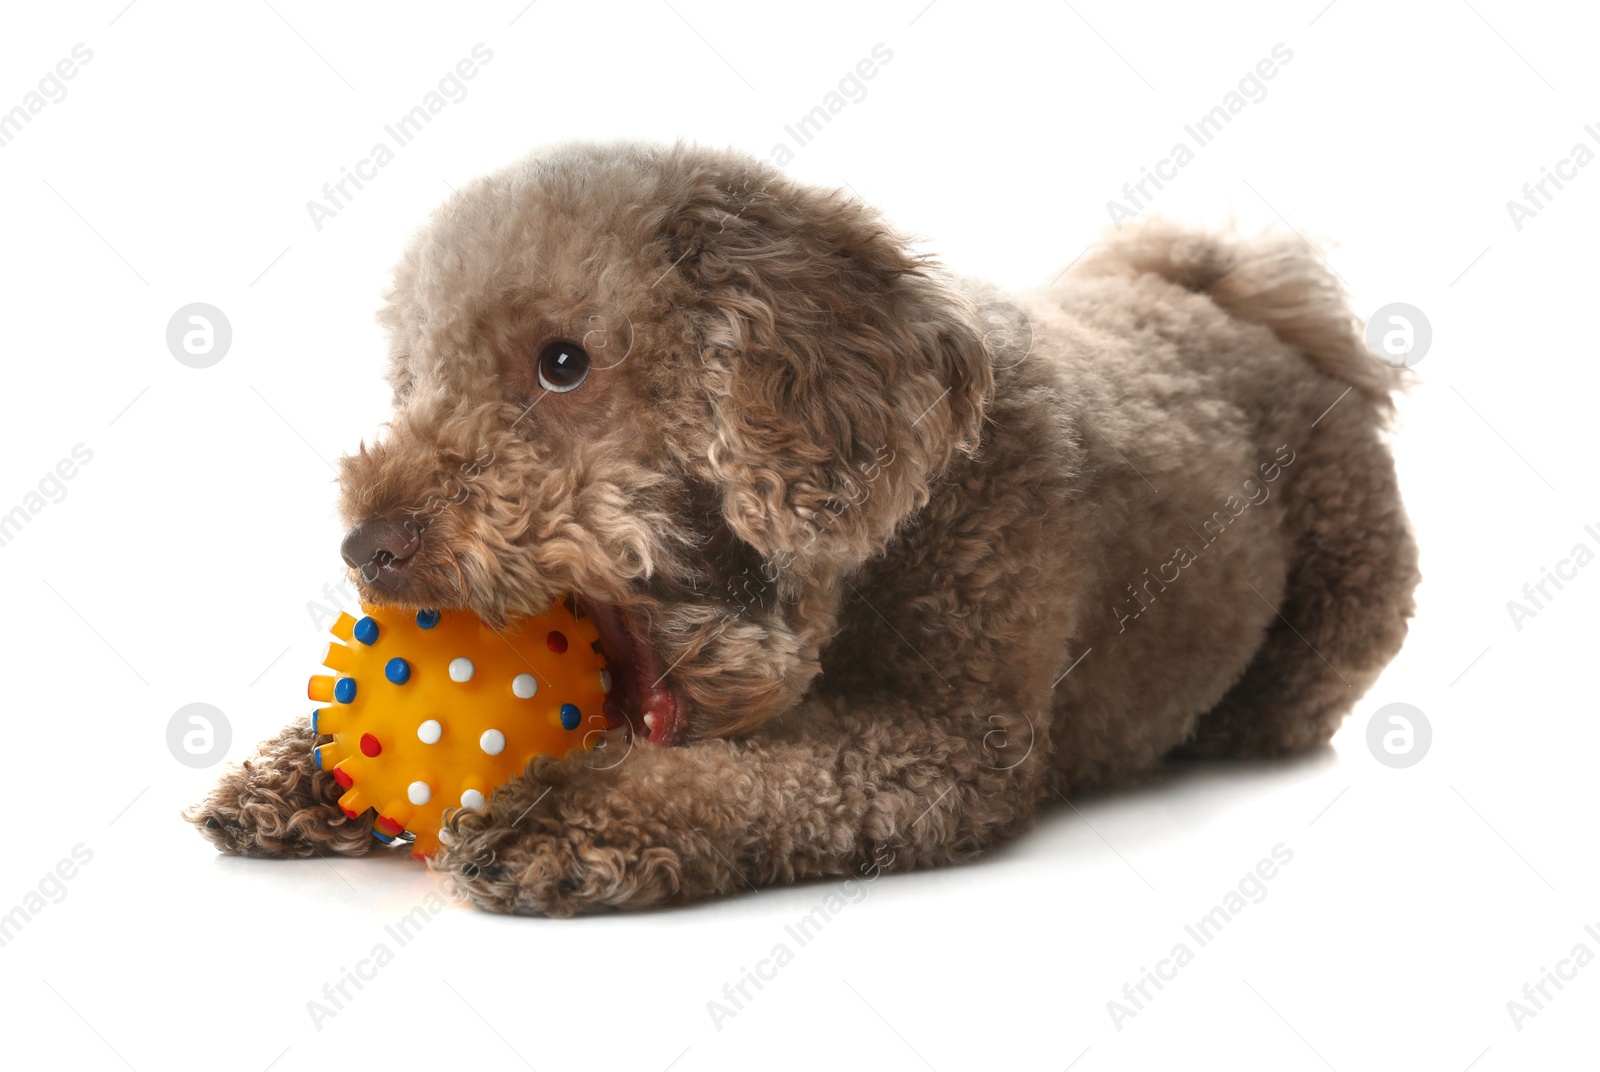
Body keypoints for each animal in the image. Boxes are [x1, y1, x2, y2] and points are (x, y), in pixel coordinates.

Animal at [181, 140, 1420, 915]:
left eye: (563, 362)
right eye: (414, 382)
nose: (370, 546)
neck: (901, 520)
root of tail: (1230, 299)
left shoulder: (944, 746)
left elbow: (757, 781)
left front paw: (567, 814)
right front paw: (301, 773)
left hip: (1349, 590)